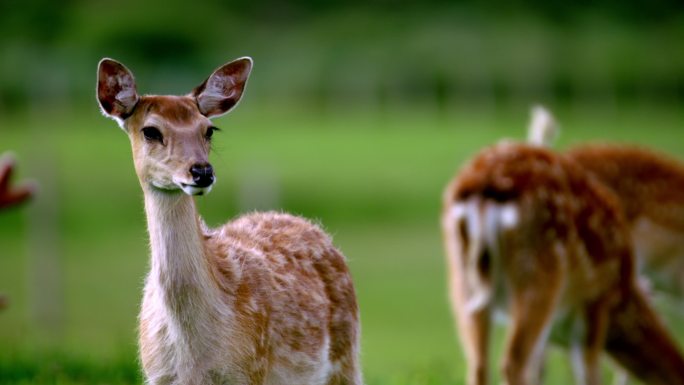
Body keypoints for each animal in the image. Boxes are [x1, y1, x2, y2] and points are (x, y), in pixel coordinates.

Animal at [98, 57, 364, 384]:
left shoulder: (250, 369)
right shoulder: (157, 373)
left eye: (209, 129)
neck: (193, 358)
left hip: (346, 355)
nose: (202, 171)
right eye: (150, 131)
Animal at [440, 140, 684, 382]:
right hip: (540, 273)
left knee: (478, 364)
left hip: (463, 280)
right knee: (514, 362)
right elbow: (590, 373)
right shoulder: (596, 302)